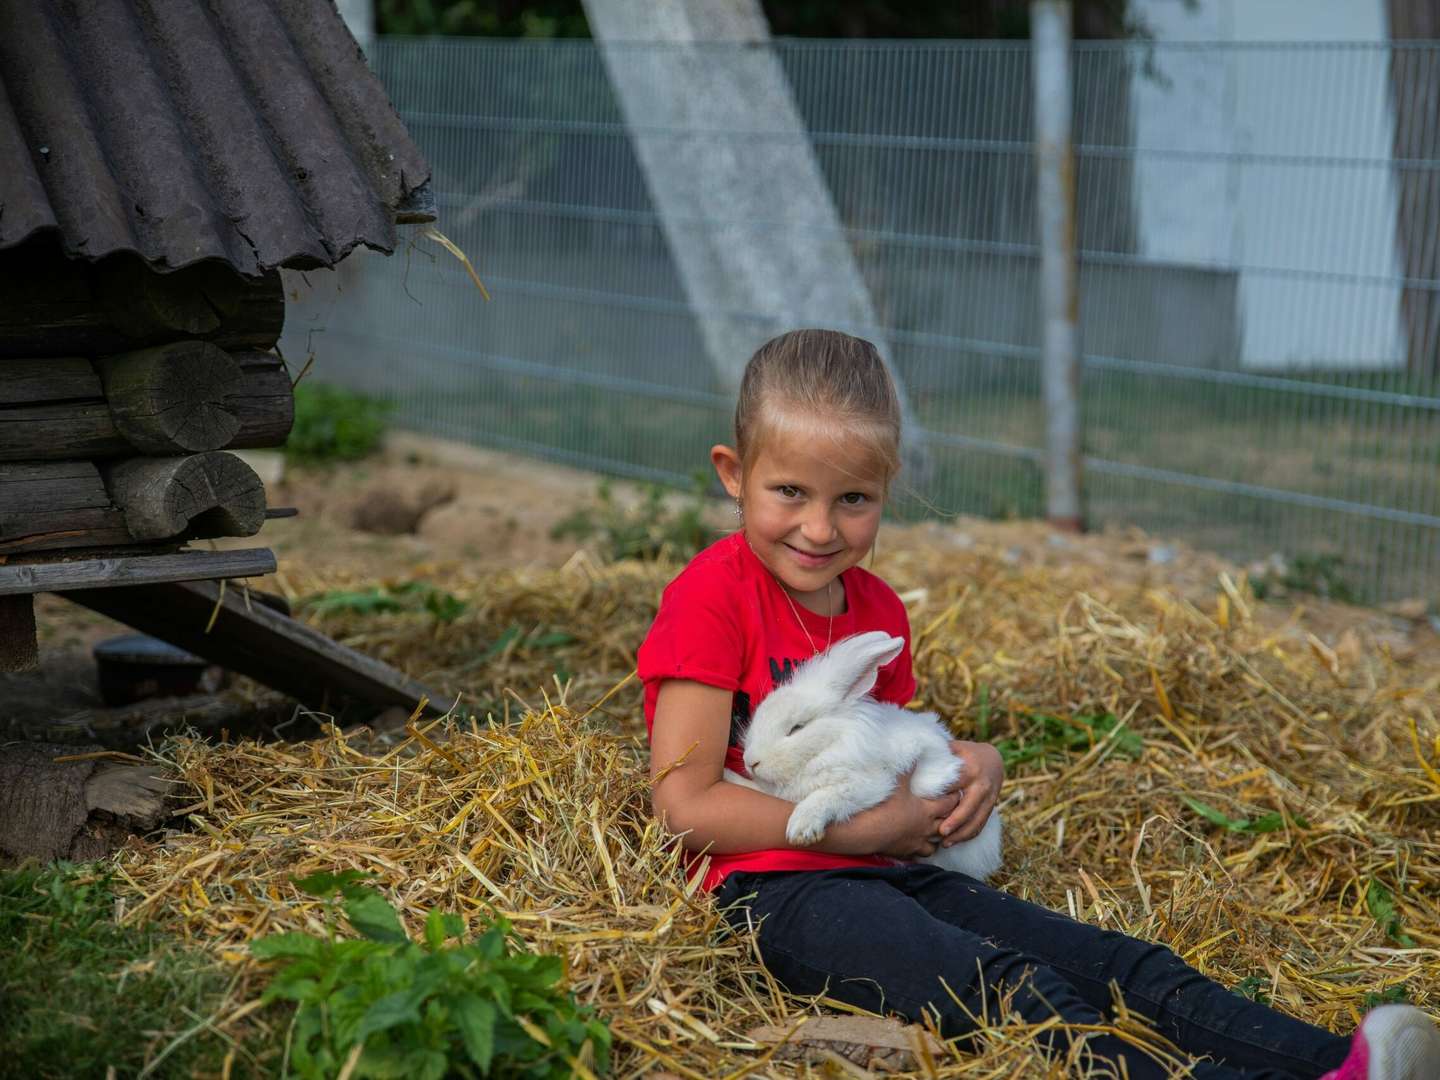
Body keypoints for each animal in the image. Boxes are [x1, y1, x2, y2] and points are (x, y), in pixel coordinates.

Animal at [720, 633, 1002, 881]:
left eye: (797, 728)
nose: (751, 762)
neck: (829, 744)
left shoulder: (869, 785)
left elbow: (827, 796)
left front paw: (801, 828)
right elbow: (754, 788)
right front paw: (729, 775)